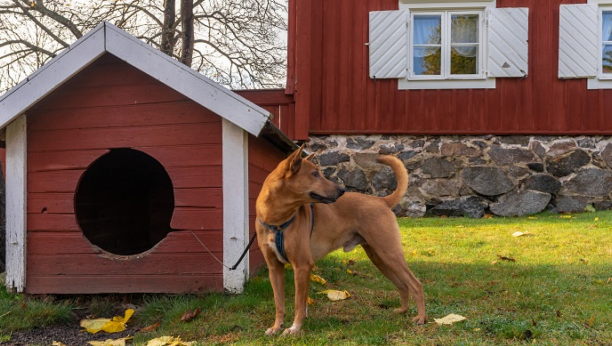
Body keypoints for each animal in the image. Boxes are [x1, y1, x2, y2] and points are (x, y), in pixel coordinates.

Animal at [253, 146, 426, 336]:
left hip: (389, 253)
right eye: (315, 174)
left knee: (416, 284)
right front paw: (277, 326)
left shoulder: (302, 265)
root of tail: (381, 200)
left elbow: (299, 303)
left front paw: (294, 328)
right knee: (403, 285)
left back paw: (421, 318)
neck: (277, 221)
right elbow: (279, 303)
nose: (341, 190)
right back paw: (403, 310)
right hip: (379, 258)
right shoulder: (275, 268)